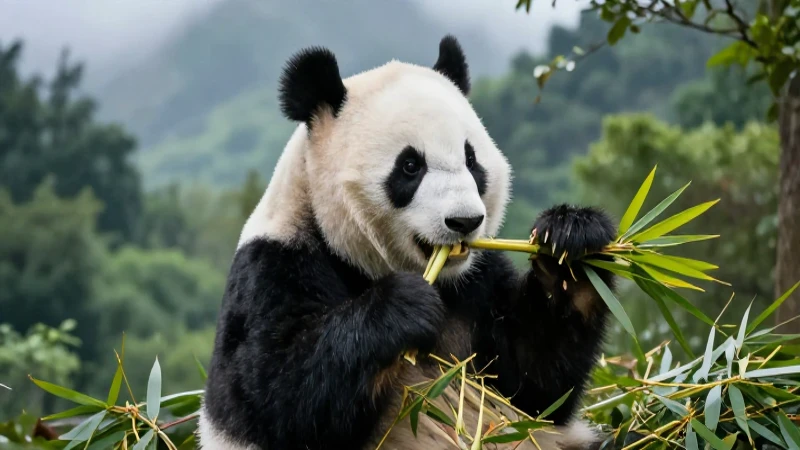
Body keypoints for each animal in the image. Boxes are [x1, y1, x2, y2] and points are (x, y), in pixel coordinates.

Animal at [198, 35, 617, 450]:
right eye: (410, 166)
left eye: (472, 160)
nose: (464, 221)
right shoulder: (274, 269)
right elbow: (276, 396)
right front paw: (403, 305)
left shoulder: (477, 281)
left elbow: (534, 385)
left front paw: (570, 246)